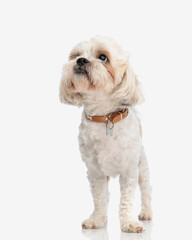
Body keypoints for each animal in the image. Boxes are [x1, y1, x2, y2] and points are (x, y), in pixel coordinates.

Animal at [59, 36, 152, 232]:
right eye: (76, 55)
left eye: (103, 57)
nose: (81, 61)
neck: (104, 117)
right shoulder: (95, 171)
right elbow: (100, 197)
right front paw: (97, 220)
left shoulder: (129, 170)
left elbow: (126, 199)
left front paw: (129, 223)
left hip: (143, 168)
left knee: (147, 191)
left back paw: (146, 213)